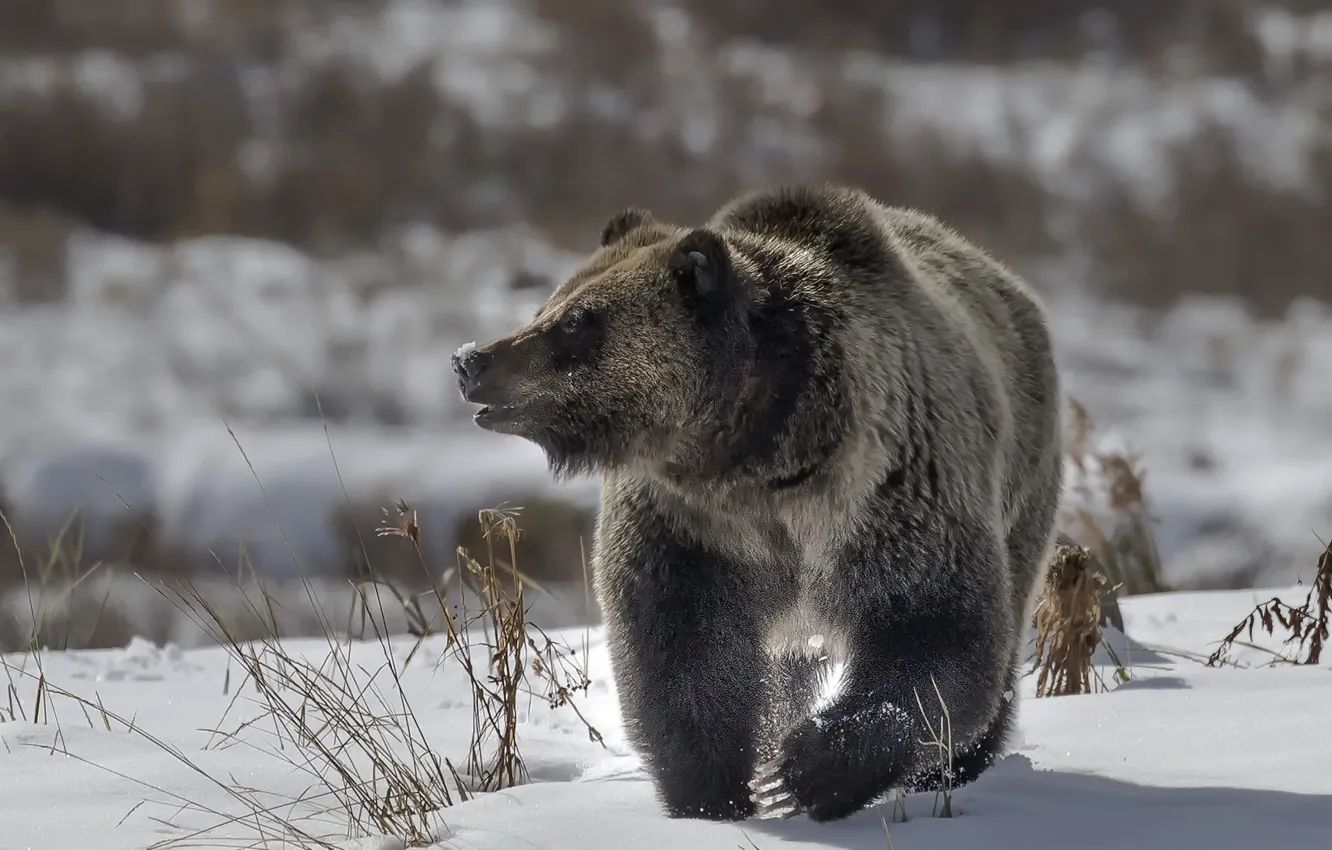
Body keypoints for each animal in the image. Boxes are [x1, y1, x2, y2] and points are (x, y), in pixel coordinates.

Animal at [450, 183, 1064, 824]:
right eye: (552, 303)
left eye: (576, 321)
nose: (472, 361)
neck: (759, 461)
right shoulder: (692, 527)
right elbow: (683, 652)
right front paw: (715, 792)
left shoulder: (893, 492)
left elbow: (932, 628)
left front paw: (806, 772)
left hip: (1022, 482)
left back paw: (957, 769)